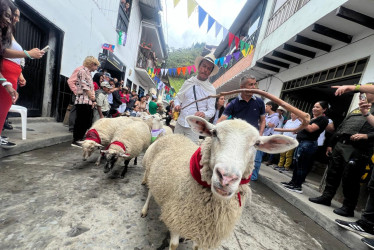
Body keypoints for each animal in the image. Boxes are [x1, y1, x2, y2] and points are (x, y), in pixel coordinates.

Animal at [140, 116, 298, 249]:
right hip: (152, 171)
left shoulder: (202, 230)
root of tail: (175, 135)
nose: (227, 177)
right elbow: (173, 245)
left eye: (257, 143)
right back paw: (144, 210)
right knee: (150, 192)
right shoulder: (175, 217)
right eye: (214, 133)